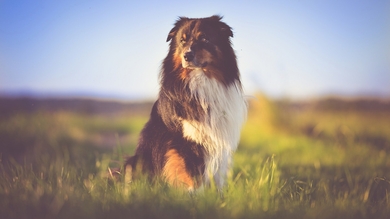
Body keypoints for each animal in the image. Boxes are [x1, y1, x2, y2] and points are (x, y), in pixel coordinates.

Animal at [125, 15, 247, 190]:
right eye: (182, 41)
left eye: (204, 38)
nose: (187, 56)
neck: (201, 80)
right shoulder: (184, 140)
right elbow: (190, 172)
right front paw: (195, 194)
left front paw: (217, 194)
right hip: (134, 161)